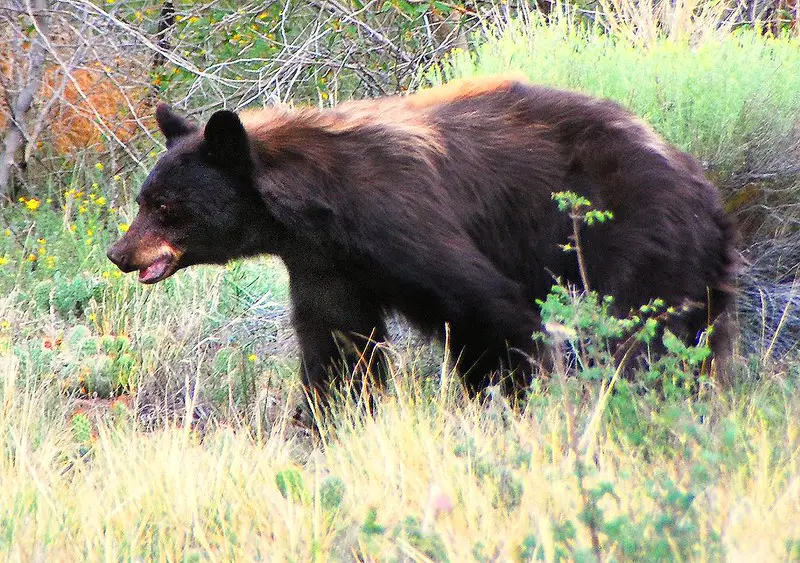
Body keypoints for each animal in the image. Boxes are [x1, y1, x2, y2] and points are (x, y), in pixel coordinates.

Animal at [108, 76, 736, 410]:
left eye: (164, 206)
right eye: (143, 198)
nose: (118, 253)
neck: (317, 206)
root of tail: (701, 182)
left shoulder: (401, 220)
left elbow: (486, 307)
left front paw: (508, 399)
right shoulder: (326, 262)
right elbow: (337, 342)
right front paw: (331, 416)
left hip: (635, 229)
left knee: (646, 324)